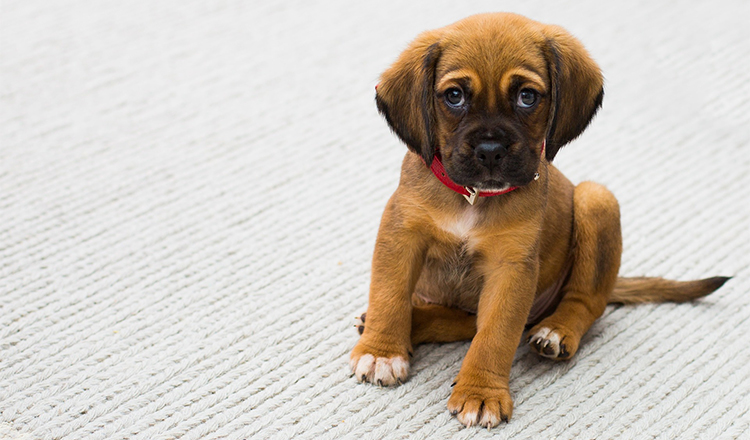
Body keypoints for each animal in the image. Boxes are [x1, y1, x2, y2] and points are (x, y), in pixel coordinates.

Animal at [352, 12, 728, 428]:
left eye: (527, 96)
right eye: (454, 96)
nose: (490, 150)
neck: (472, 198)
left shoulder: (511, 269)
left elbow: (495, 336)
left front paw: (481, 392)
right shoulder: (400, 236)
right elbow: (389, 296)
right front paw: (382, 351)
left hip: (597, 199)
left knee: (585, 302)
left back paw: (557, 331)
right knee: (461, 321)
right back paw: (408, 323)